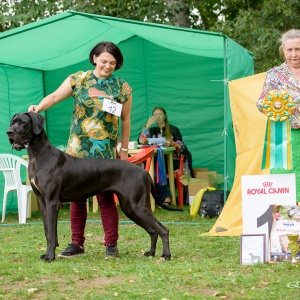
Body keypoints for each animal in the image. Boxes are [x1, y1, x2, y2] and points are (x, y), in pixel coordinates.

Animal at [5, 113, 182, 262]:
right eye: (12, 122)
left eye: (23, 123)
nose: (8, 132)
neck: (38, 156)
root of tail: (144, 171)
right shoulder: (43, 203)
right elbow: (48, 232)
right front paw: (47, 253)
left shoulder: (52, 202)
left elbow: (52, 233)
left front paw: (50, 256)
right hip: (130, 208)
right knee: (153, 231)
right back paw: (150, 253)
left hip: (137, 206)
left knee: (163, 229)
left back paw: (166, 255)